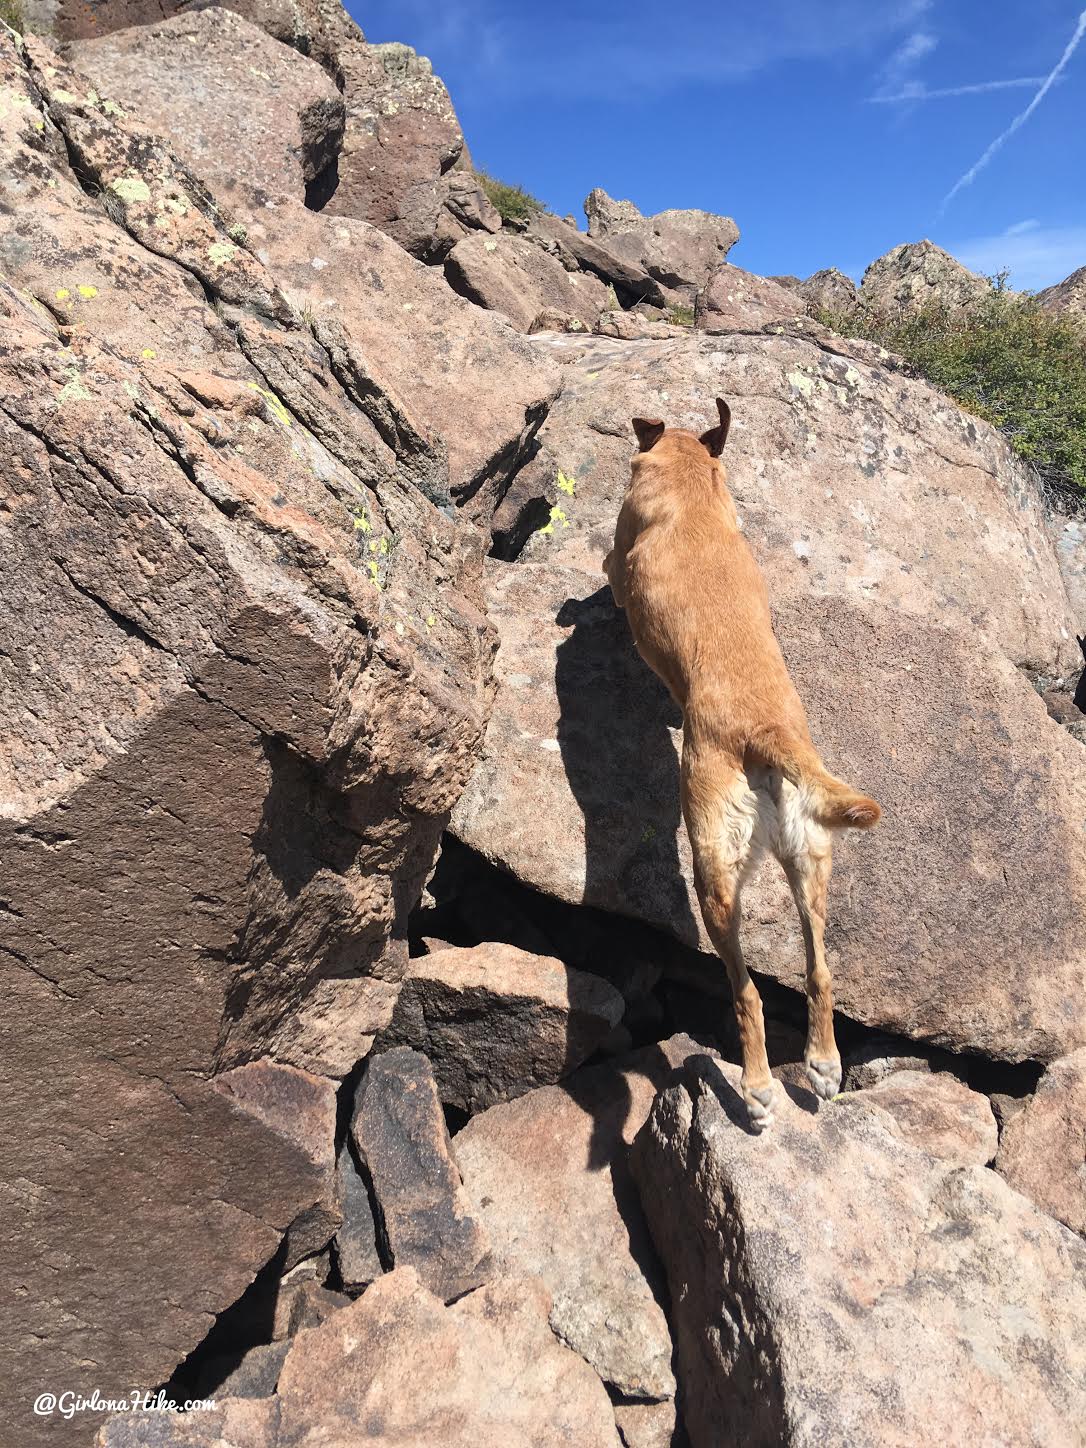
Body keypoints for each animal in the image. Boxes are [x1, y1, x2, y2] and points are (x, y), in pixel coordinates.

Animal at [608, 396, 880, 1129]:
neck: (690, 481)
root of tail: (767, 735)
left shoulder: (619, 551)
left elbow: (610, 578)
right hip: (812, 852)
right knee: (819, 970)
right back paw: (822, 1064)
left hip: (713, 860)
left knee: (746, 988)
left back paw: (756, 1089)